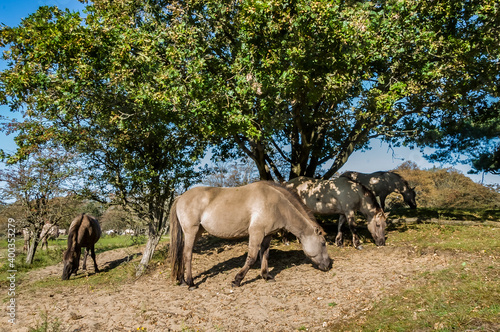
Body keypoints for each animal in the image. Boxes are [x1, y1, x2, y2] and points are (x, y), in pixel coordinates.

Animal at [169, 182, 332, 288]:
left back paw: (182, 280)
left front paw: (266, 276)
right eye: (323, 243)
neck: (277, 204)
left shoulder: (267, 235)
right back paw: (190, 283)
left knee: (182, 254)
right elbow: (252, 257)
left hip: (197, 232)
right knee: (187, 255)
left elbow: (264, 255)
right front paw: (237, 280)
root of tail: (181, 197)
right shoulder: (256, 233)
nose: (328, 265)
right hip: (191, 231)